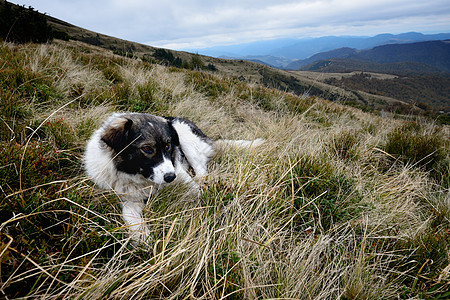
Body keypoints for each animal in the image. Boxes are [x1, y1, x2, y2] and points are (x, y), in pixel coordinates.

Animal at [83, 112, 264, 244]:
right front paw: (142, 238)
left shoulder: (180, 172)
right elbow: (131, 216)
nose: (171, 177)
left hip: (185, 136)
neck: (142, 178)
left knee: (201, 171)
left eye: (168, 146)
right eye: (147, 149)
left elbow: (196, 191)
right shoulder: (128, 198)